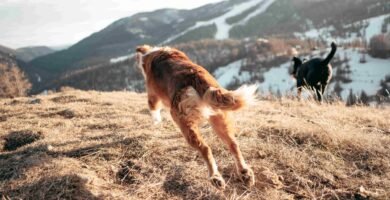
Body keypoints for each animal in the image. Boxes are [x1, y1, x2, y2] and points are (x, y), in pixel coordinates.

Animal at [136, 44, 258, 190]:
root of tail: (196, 77)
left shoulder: (152, 94)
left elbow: (153, 110)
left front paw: (156, 123)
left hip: (184, 122)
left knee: (205, 148)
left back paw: (215, 178)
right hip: (220, 117)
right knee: (233, 144)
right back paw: (245, 173)